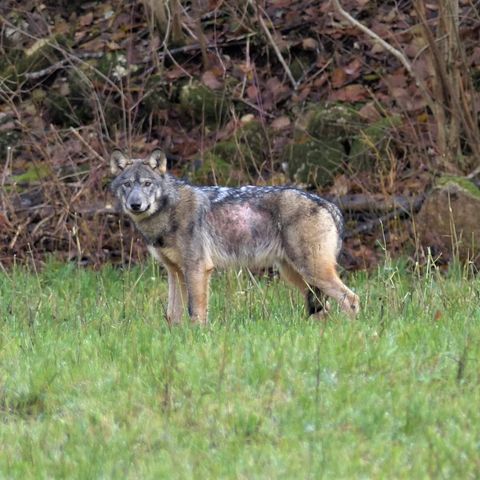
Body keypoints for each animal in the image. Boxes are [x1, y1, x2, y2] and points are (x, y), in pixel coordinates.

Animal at [110, 148, 358, 324]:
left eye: (147, 184)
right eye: (127, 185)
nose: (135, 204)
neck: (168, 212)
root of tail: (329, 205)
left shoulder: (198, 268)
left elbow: (196, 312)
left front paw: (197, 340)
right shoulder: (175, 272)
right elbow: (173, 315)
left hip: (311, 272)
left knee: (351, 299)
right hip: (296, 276)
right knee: (325, 309)